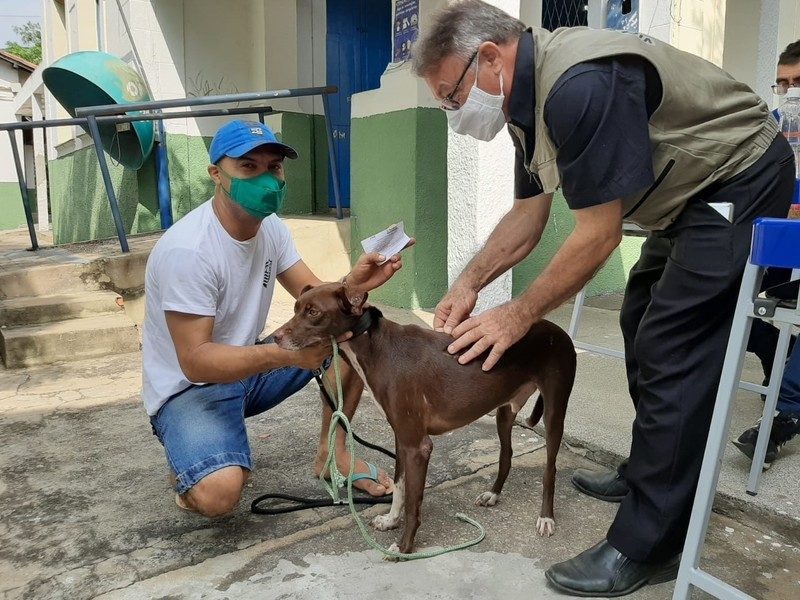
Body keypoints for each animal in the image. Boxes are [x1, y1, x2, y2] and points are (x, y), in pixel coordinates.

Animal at [276, 284, 576, 556]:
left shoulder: (418, 446)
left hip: (554, 411)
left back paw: (546, 517)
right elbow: (399, 488)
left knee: (550, 470)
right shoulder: (401, 438)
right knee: (506, 455)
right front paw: (390, 521)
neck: (376, 348)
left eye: (313, 312)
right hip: (504, 411)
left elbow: (413, 503)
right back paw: (493, 494)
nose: (275, 338)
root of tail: (557, 330)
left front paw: (405, 548)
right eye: (296, 308)